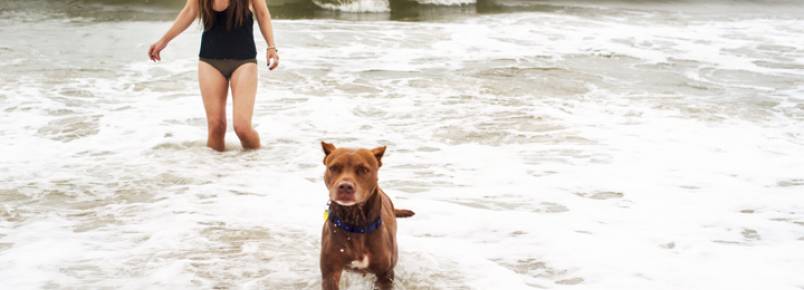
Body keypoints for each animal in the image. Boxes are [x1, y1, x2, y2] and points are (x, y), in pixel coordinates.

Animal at [318, 142, 414, 288]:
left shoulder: (385, 275)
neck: (355, 222)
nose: (345, 187)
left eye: (363, 169)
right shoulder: (330, 274)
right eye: (334, 167)